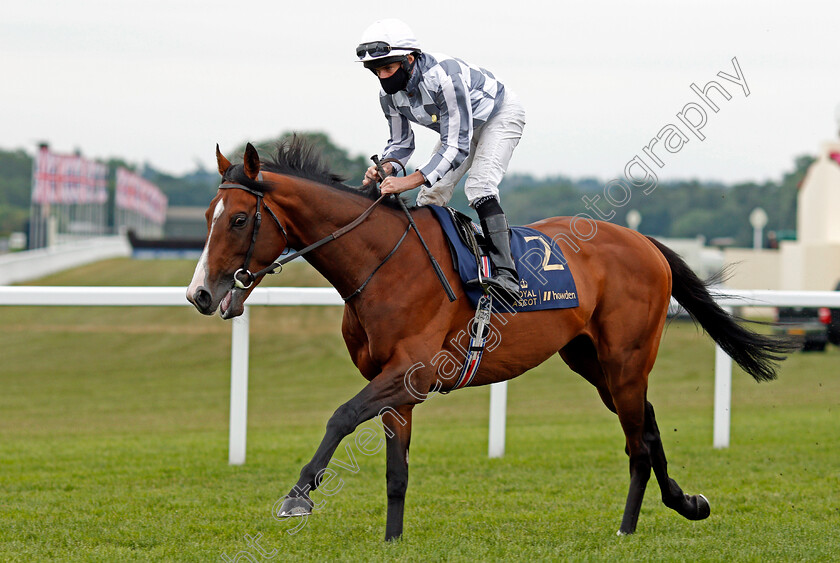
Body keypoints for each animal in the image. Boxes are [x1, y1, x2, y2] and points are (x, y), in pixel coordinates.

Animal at [185, 138, 788, 540]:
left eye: (238, 220)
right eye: (208, 214)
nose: (199, 294)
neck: (383, 266)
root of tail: (644, 241)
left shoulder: (411, 372)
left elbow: (340, 416)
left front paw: (297, 496)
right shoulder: (396, 385)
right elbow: (396, 470)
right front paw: (392, 541)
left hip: (626, 357)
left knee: (637, 440)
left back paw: (627, 527)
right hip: (592, 361)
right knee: (649, 423)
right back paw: (686, 502)